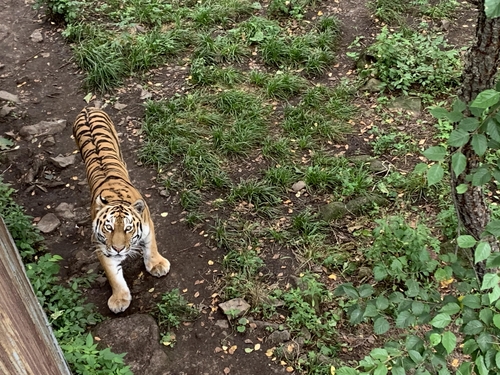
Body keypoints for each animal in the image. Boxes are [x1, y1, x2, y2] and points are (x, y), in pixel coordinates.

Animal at [72, 106, 170, 314]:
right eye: (108, 228)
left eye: (128, 228)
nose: (118, 249)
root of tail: (87, 108)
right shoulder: (102, 247)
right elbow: (113, 275)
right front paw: (119, 300)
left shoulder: (148, 226)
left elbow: (151, 247)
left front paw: (157, 265)